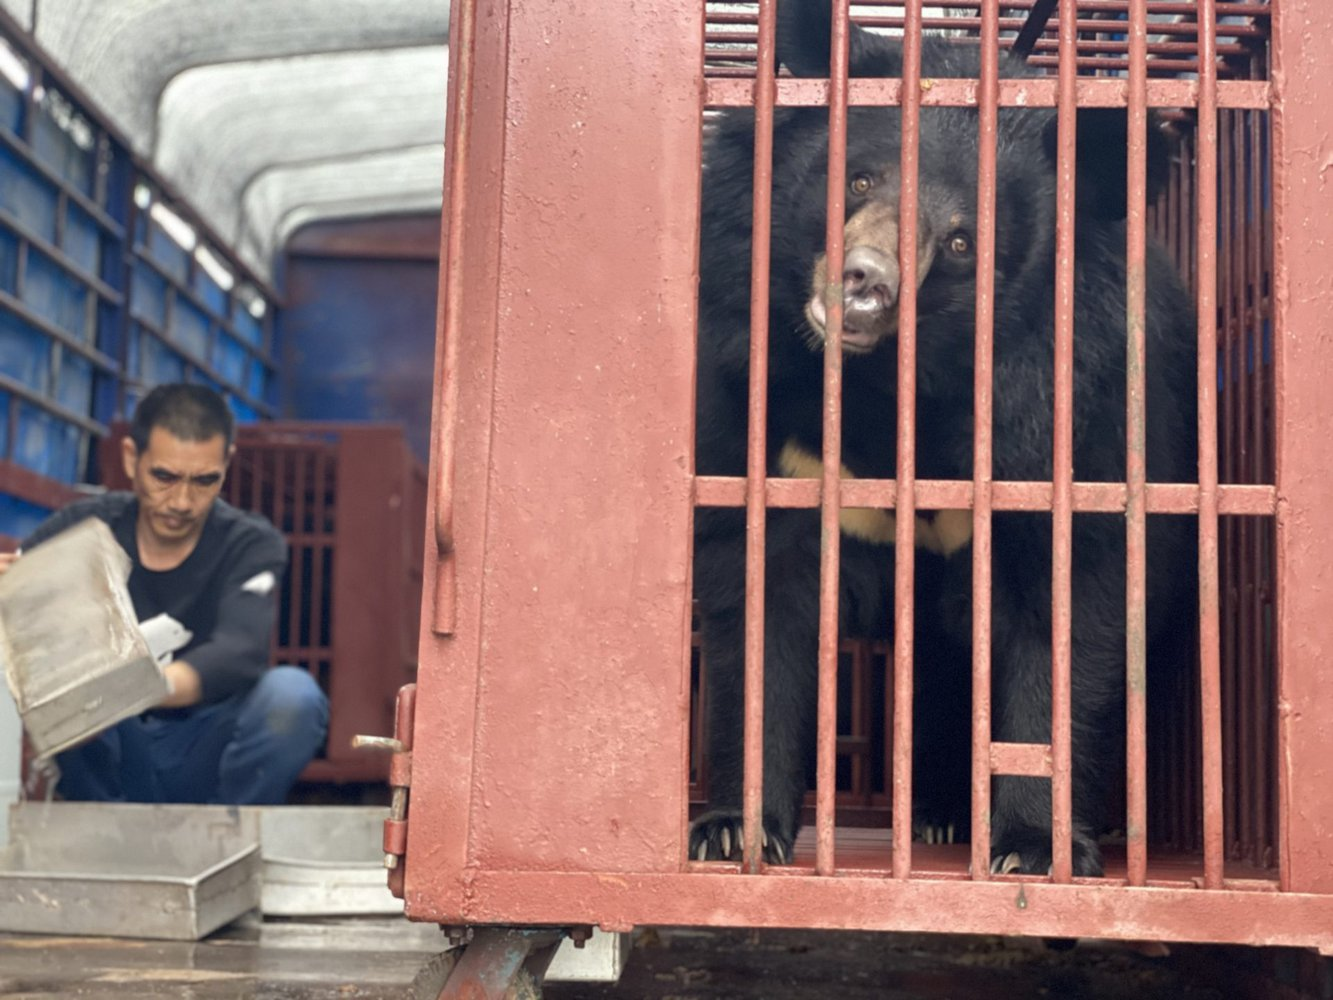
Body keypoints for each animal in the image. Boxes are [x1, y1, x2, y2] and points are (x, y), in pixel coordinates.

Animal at [687, 0, 1199, 874]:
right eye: (859, 178)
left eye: (961, 241)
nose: (863, 282)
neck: (888, 384)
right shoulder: (765, 427)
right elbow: (759, 600)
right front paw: (732, 831)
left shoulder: (1063, 418)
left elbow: (1071, 612)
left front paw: (1032, 848)